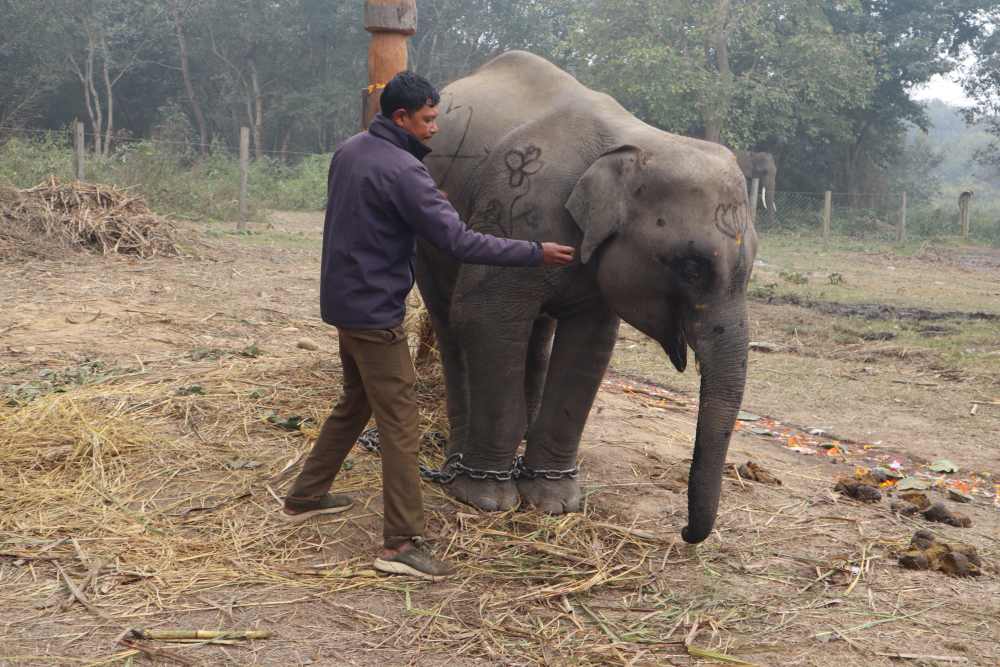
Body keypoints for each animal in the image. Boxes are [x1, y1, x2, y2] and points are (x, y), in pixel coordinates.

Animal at [416, 51, 756, 544]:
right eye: (692, 267)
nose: (685, 532)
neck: (636, 139)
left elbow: (589, 345)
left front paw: (553, 503)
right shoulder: (516, 206)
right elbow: (484, 318)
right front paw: (489, 501)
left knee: (536, 332)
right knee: (451, 321)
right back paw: (459, 459)